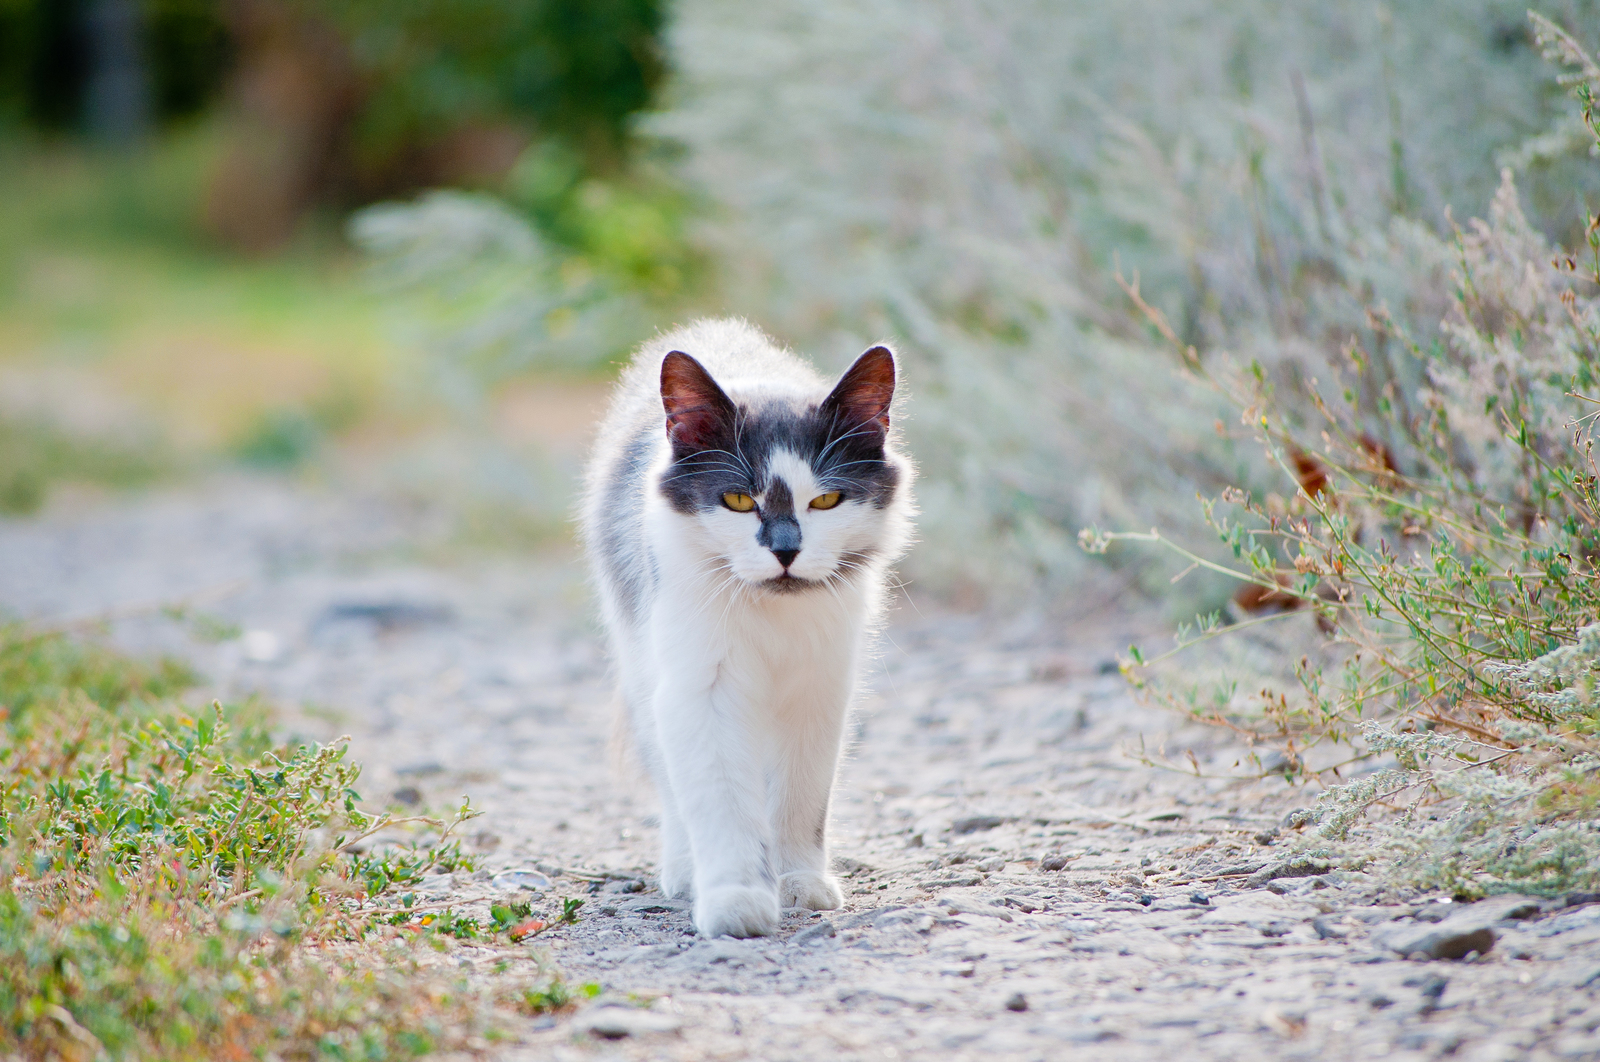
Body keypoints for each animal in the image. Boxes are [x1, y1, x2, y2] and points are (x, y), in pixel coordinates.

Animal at [579, 316, 915, 940]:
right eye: (738, 500)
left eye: (826, 501)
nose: (784, 550)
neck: (771, 614)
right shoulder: (701, 689)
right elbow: (722, 802)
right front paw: (736, 899)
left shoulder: (819, 691)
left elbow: (802, 800)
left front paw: (797, 881)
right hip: (643, 668)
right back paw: (685, 870)